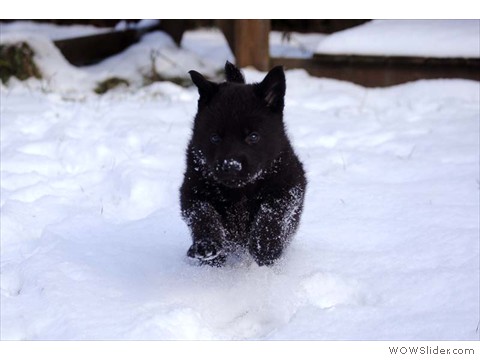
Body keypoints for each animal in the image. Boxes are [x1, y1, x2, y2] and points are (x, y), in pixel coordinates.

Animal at [180, 60, 308, 266]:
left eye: (253, 136)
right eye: (214, 138)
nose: (231, 166)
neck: (240, 191)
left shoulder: (290, 186)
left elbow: (271, 212)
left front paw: (264, 247)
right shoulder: (192, 189)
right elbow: (203, 215)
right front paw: (206, 246)